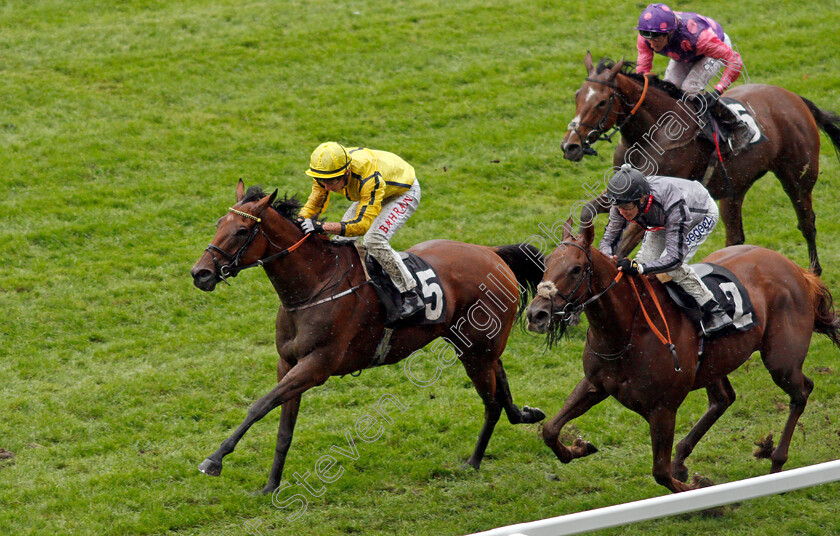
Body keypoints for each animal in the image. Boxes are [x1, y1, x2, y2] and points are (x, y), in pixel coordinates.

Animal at [188, 181, 548, 494]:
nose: (200, 273)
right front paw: (271, 486)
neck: (315, 285)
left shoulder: (316, 366)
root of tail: (492, 252)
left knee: (491, 402)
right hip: (477, 345)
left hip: (475, 351)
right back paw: (525, 415)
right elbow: (284, 429)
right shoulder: (287, 363)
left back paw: (473, 461)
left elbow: (259, 406)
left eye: (242, 231)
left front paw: (214, 460)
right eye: (219, 223)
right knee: (500, 382)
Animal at [524, 222, 840, 494]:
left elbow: (660, 473)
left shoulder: (663, 408)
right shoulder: (595, 384)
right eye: (546, 264)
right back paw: (682, 458)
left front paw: (701, 488)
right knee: (724, 399)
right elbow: (549, 430)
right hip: (715, 362)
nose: (536, 314)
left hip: (781, 360)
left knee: (801, 391)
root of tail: (797, 269)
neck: (627, 331)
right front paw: (578, 448)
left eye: (576, 269)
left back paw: (776, 462)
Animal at [556, 53, 840, 276]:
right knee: (736, 237)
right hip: (734, 188)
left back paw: (814, 274)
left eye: (602, 101)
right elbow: (587, 211)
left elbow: (625, 246)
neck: (652, 133)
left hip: (797, 178)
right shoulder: (621, 191)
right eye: (577, 96)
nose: (570, 146)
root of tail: (796, 98)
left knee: (807, 223)